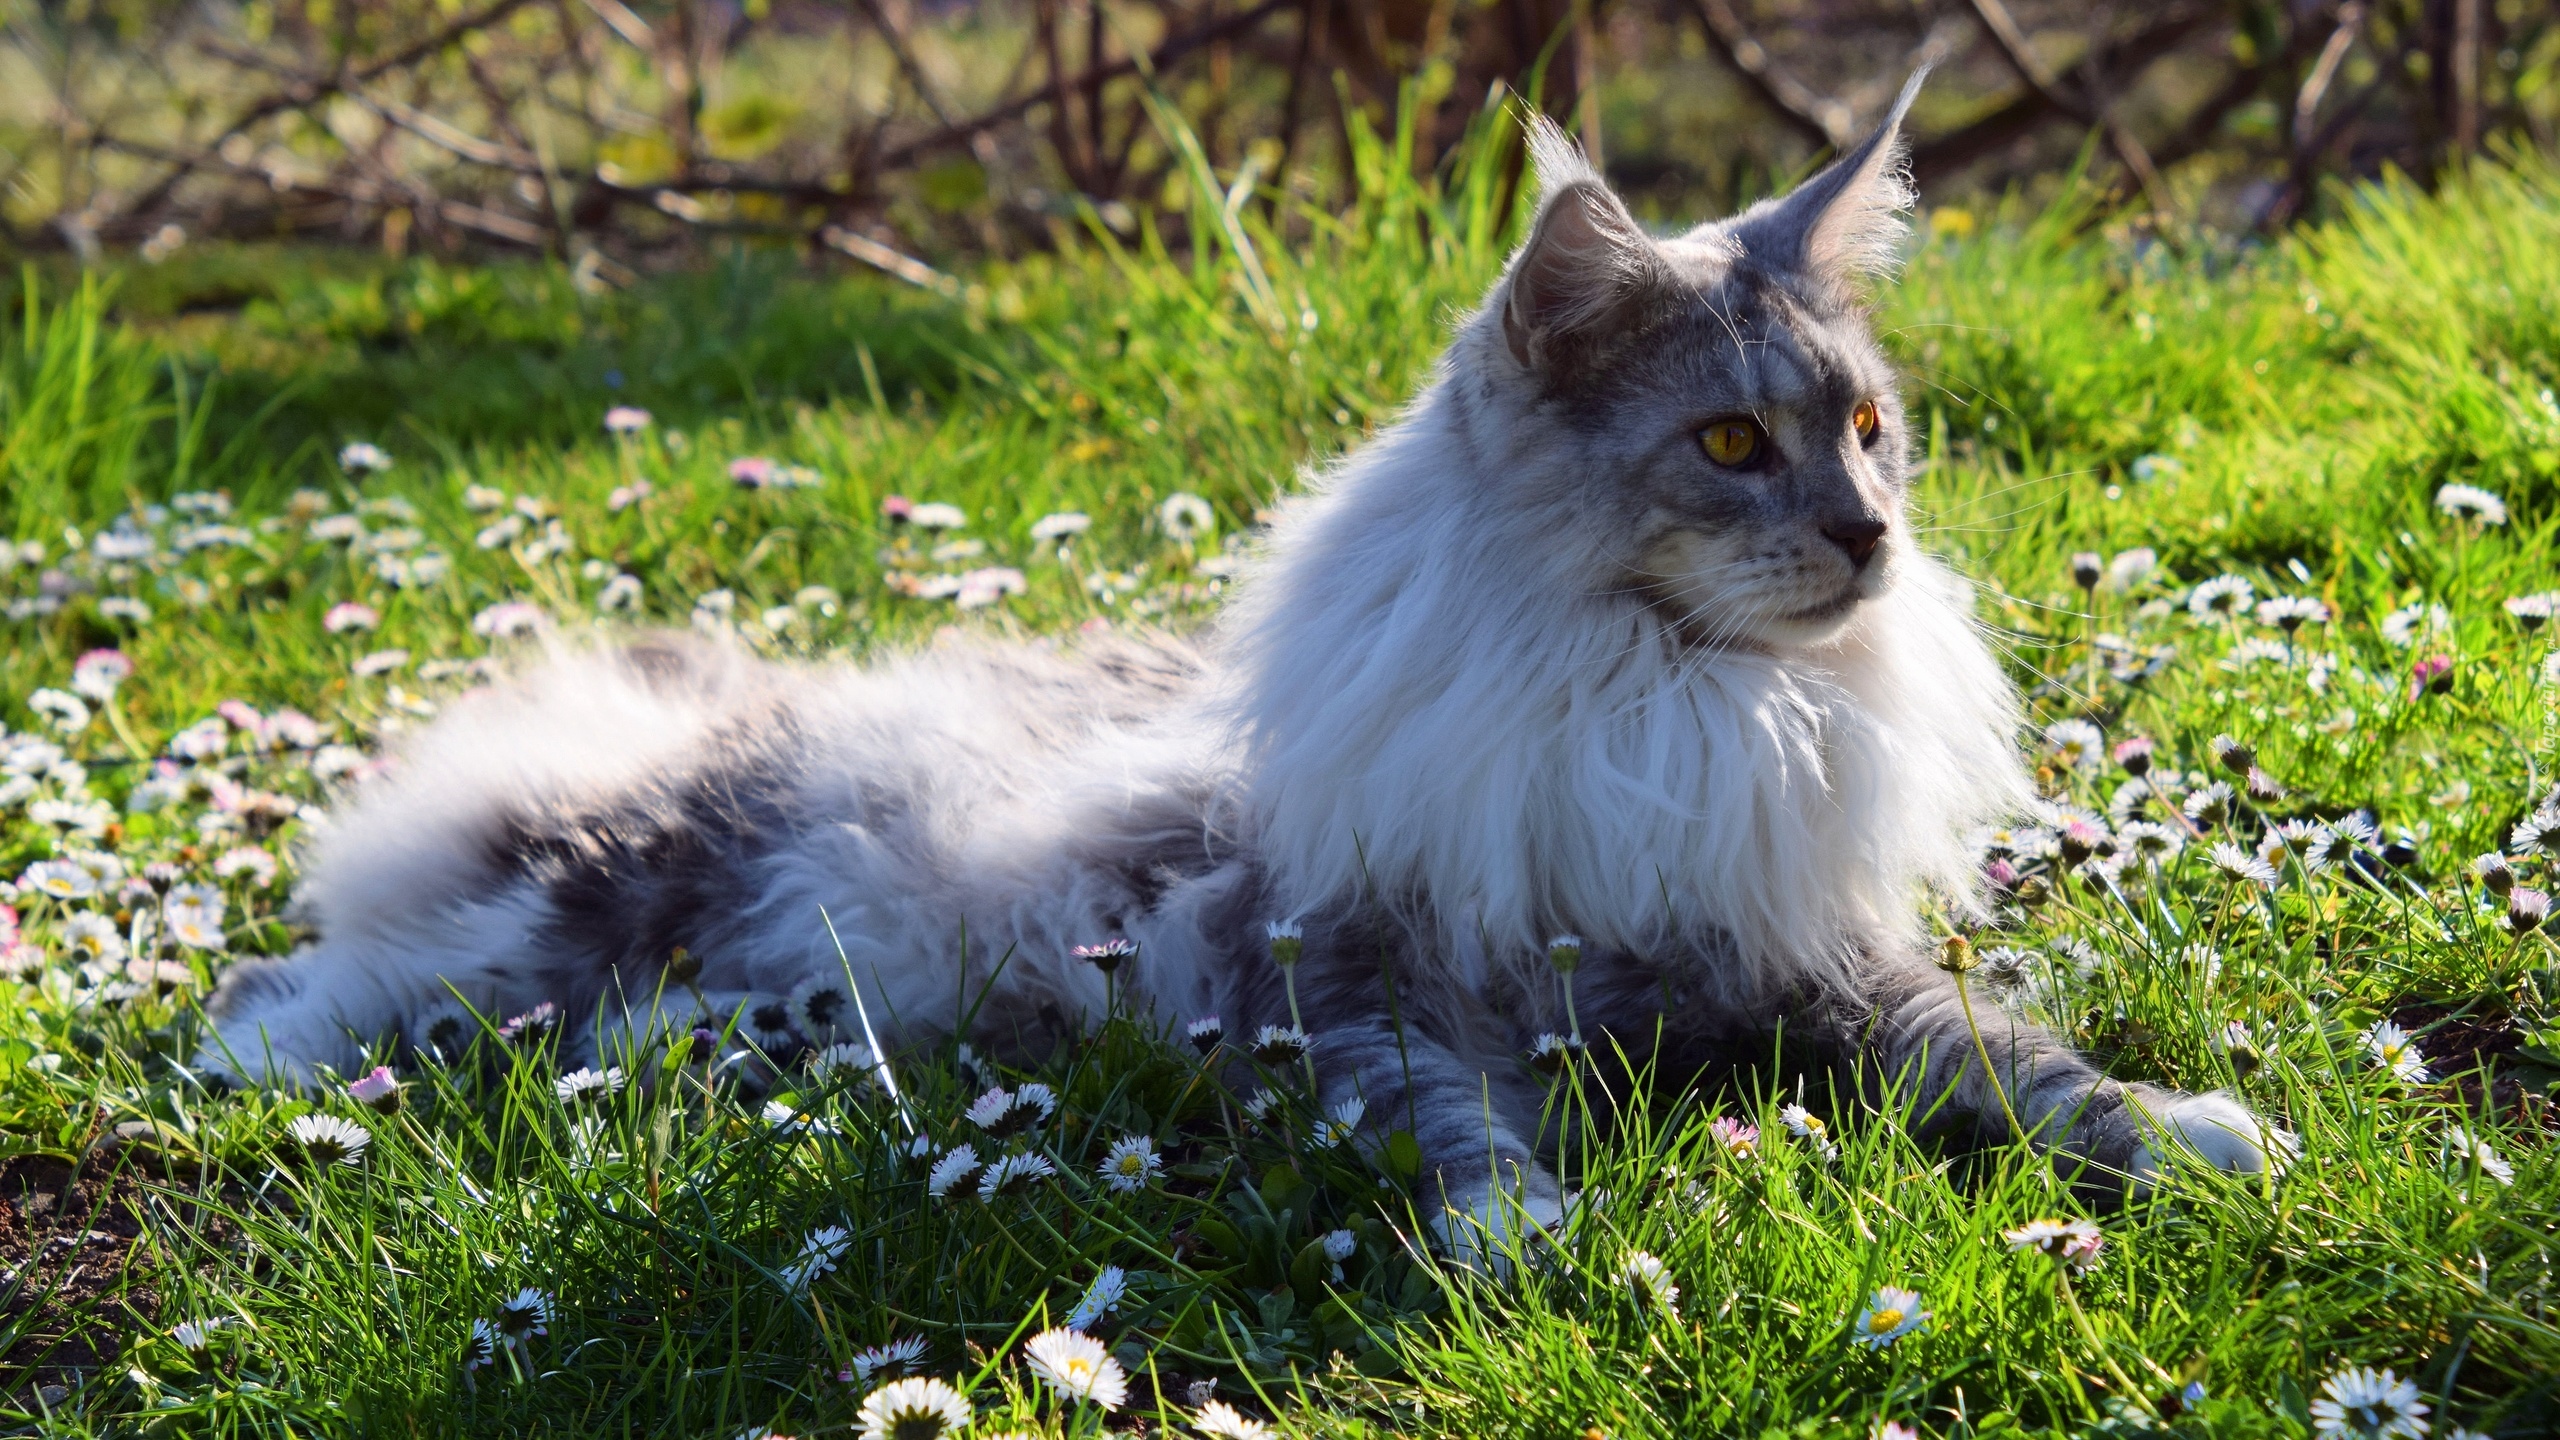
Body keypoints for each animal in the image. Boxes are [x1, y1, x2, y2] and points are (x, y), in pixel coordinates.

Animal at [199, 78, 2283, 1240]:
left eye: (1864, 429)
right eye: (1725, 444)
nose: (1868, 541)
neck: (1666, 708)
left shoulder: (1810, 963)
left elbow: (2026, 1069)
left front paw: (2200, 1138)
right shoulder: (1348, 986)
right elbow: (1458, 1130)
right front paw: (1532, 1244)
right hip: (600, 903)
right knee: (339, 974)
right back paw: (256, 1069)